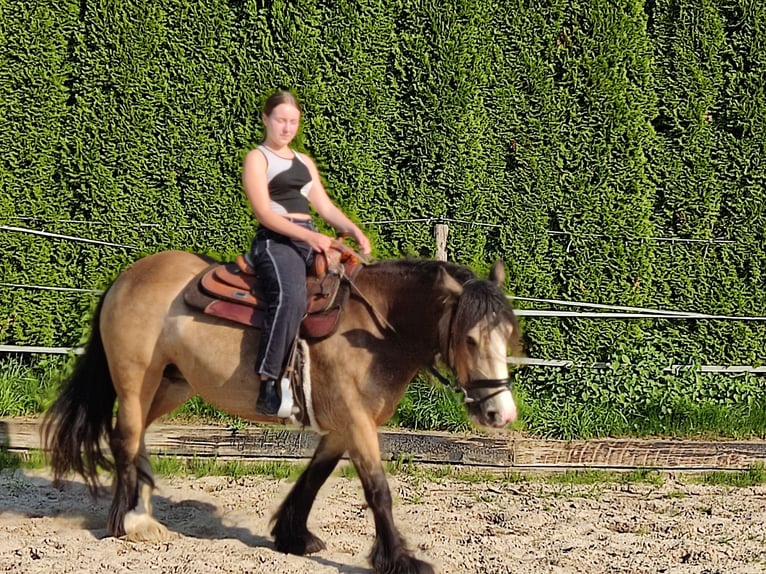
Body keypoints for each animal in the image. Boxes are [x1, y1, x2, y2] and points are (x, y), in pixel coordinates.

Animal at [42, 250, 520, 574]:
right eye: (470, 339)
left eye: (508, 334)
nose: (500, 412)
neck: (375, 330)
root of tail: (127, 276)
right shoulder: (355, 420)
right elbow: (378, 490)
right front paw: (400, 559)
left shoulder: (343, 425)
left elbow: (313, 477)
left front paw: (293, 535)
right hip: (135, 380)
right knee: (126, 438)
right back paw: (132, 523)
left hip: (169, 385)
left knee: (137, 438)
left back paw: (140, 515)